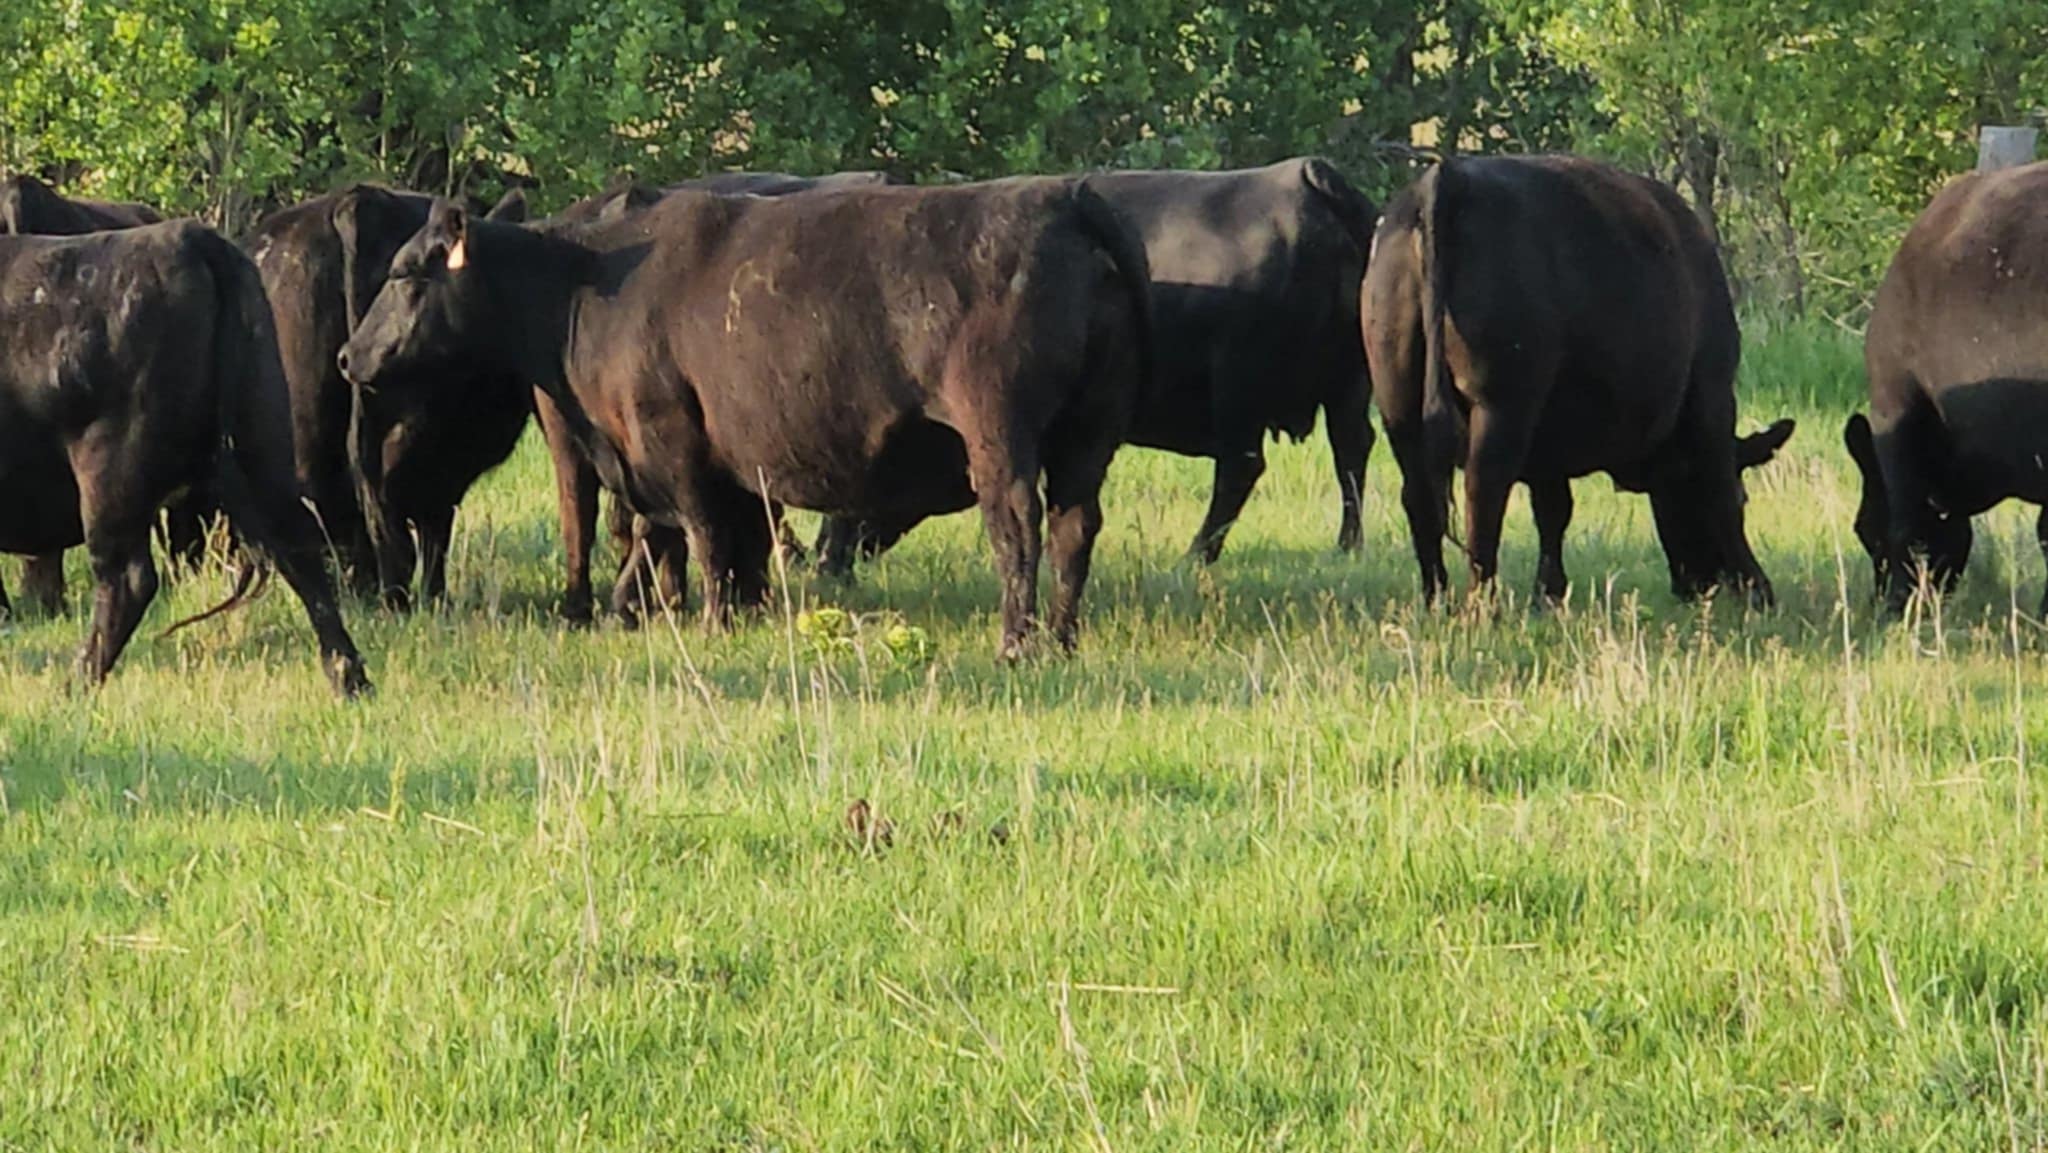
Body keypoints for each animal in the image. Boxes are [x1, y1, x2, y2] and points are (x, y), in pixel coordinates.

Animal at [0, 221, 369, 693]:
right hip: (262, 450)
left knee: (128, 581)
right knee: (299, 549)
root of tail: (186, 236)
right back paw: (349, 678)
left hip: (109, 481)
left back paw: (75, 685)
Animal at [339, 178, 1152, 658]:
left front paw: (708, 620)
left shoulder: (670, 437)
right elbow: (678, 538)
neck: (586, 287)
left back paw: (1016, 641)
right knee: (1075, 527)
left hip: (1000, 433)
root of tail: (1064, 196)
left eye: (406, 275)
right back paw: (1061, 638)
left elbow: (700, 535)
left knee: (1017, 526)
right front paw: (666, 611)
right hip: (1089, 433)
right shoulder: (688, 459)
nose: (349, 356)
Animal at [814, 158, 1377, 573]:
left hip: (1240, 387)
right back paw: (1346, 545)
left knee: (1242, 468)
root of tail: (1304, 174)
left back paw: (1196, 554)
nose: (825, 557)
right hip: (1348, 383)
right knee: (1351, 450)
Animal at [1364, 154, 1779, 607]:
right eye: (1746, 495)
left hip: (1400, 407)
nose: (1701, 585)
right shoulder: (1713, 394)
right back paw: (1482, 603)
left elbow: (1552, 510)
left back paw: (1436, 597)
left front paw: (1549, 592)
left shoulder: (1548, 442)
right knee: (1483, 490)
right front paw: (1758, 586)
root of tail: (1450, 177)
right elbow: (1720, 491)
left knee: (1421, 498)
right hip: (1501, 406)